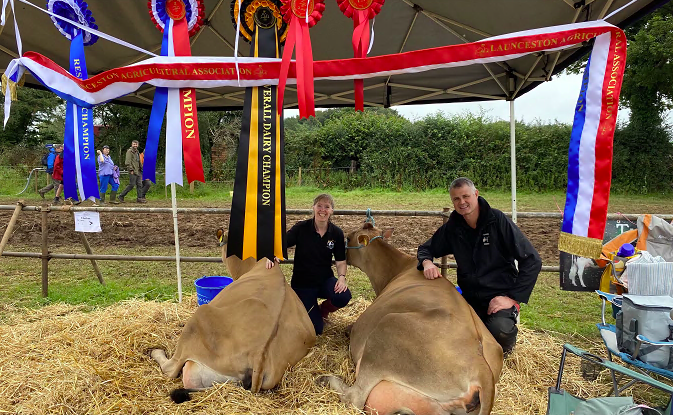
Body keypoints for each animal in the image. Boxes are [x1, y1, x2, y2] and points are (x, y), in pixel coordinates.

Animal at [318, 224, 502, 415]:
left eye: (348, 237)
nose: (339, 257)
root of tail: (482, 367)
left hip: (387, 330)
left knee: (354, 398)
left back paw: (325, 379)